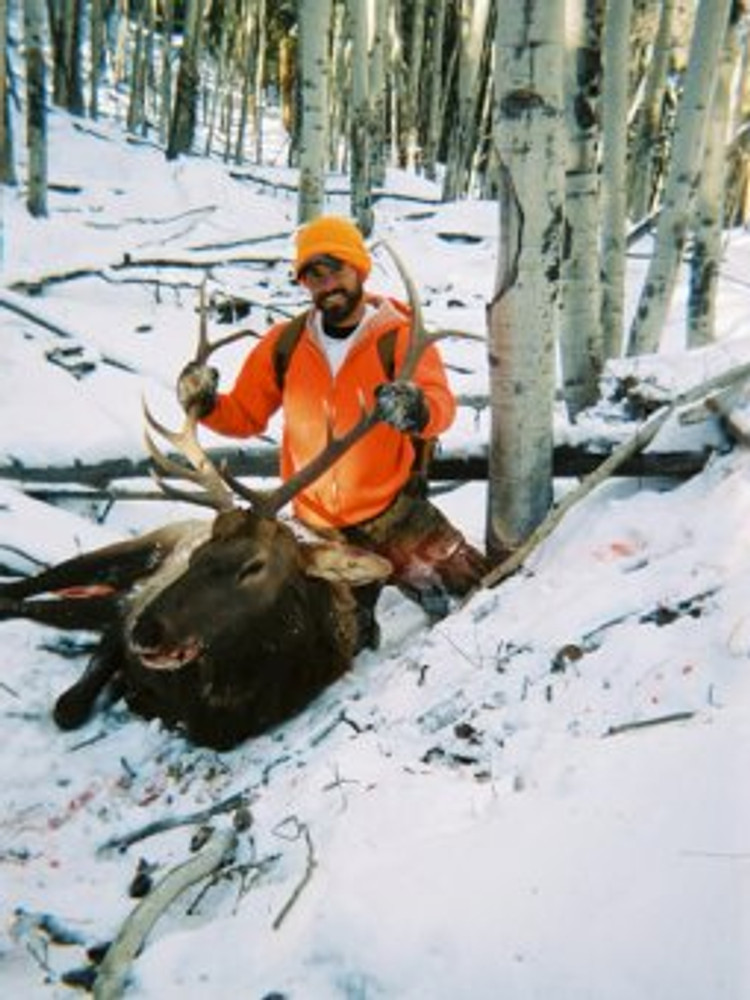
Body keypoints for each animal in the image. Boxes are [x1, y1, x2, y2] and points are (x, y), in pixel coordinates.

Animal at [0, 248, 468, 752]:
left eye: (253, 566)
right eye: (197, 556)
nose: (148, 631)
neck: (218, 704)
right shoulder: (123, 619)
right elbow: (68, 705)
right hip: (129, 553)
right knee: (25, 589)